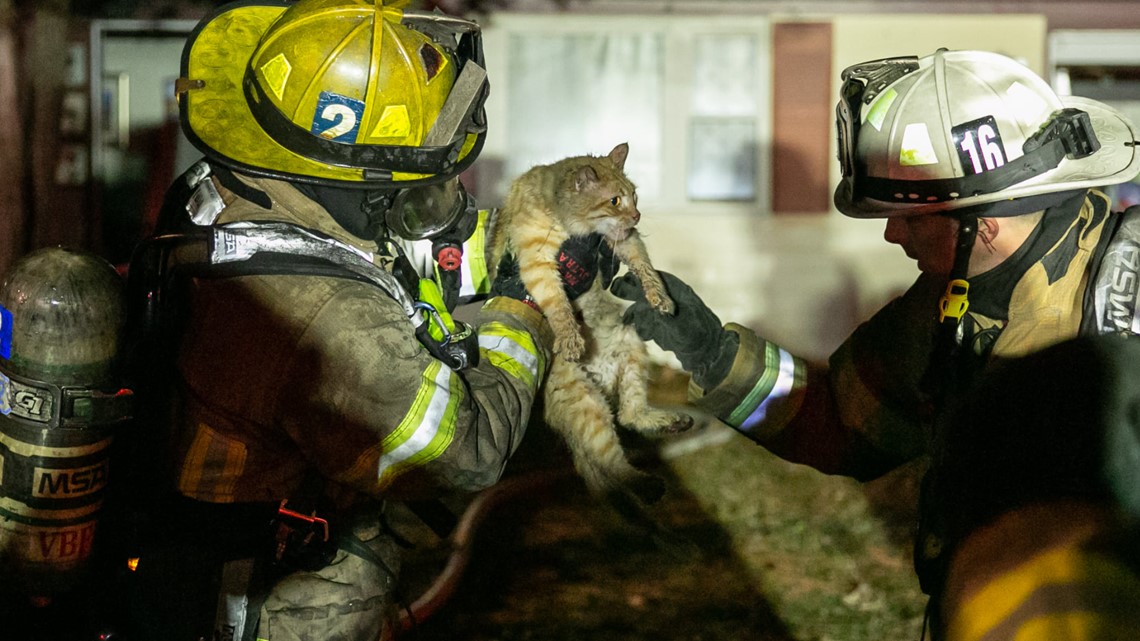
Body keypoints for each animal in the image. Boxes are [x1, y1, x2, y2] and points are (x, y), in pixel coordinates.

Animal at [487, 140, 688, 504]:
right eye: (614, 200)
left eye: (634, 195)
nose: (637, 215)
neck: (577, 227)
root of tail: (600, 375)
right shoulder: (536, 259)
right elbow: (557, 304)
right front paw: (570, 337)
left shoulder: (625, 239)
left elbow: (646, 267)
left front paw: (661, 297)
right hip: (587, 406)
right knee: (613, 464)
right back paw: (647, 485)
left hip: (632, 351)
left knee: (630, 415)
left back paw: (668, 423)